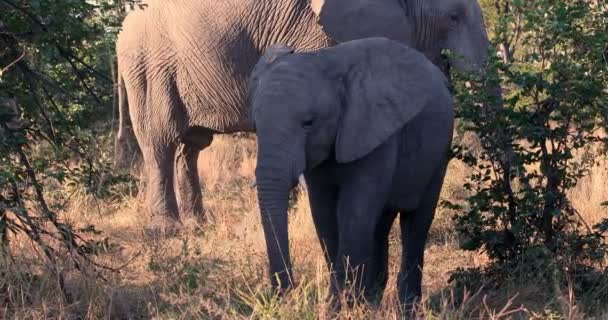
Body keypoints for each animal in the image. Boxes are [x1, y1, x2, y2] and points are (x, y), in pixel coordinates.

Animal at [114, 0, 494, 228]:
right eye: (454, 16)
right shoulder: (315, 30)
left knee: (190, 147)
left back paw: (198, 224)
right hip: (147, 67)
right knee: (161, 143)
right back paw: (168, 231)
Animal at [247, 36, 452, 306]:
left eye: (309, 122)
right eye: (256, 125)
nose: (287, 294)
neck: (326, 62)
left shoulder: (374, 130)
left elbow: (354, 215)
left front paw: (339, 306)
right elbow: (324, 217)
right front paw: (346, 303)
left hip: (439, 152)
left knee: (416, 223)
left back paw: (406, 306)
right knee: (379, 226)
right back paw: (371, 299)